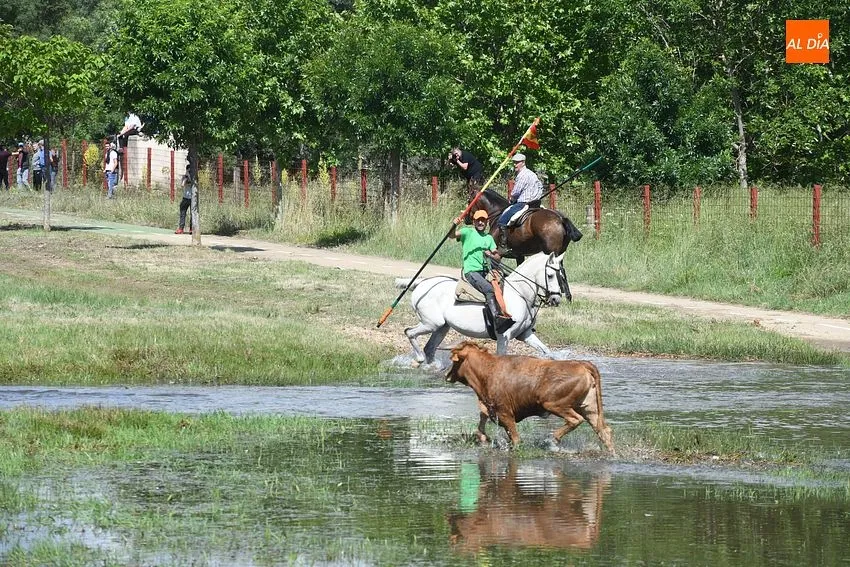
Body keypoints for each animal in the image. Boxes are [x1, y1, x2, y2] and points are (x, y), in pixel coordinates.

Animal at [397, 252, 570, 367]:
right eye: (550, 275)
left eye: (561, 275)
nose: (556, 299)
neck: (520, 294)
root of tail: (421, 284)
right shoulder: (504, 336)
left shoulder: (525, 334)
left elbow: (547, 352)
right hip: (432, 323)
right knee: (409, 332)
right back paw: (419, 359)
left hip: (442, 327)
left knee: (429, 348)